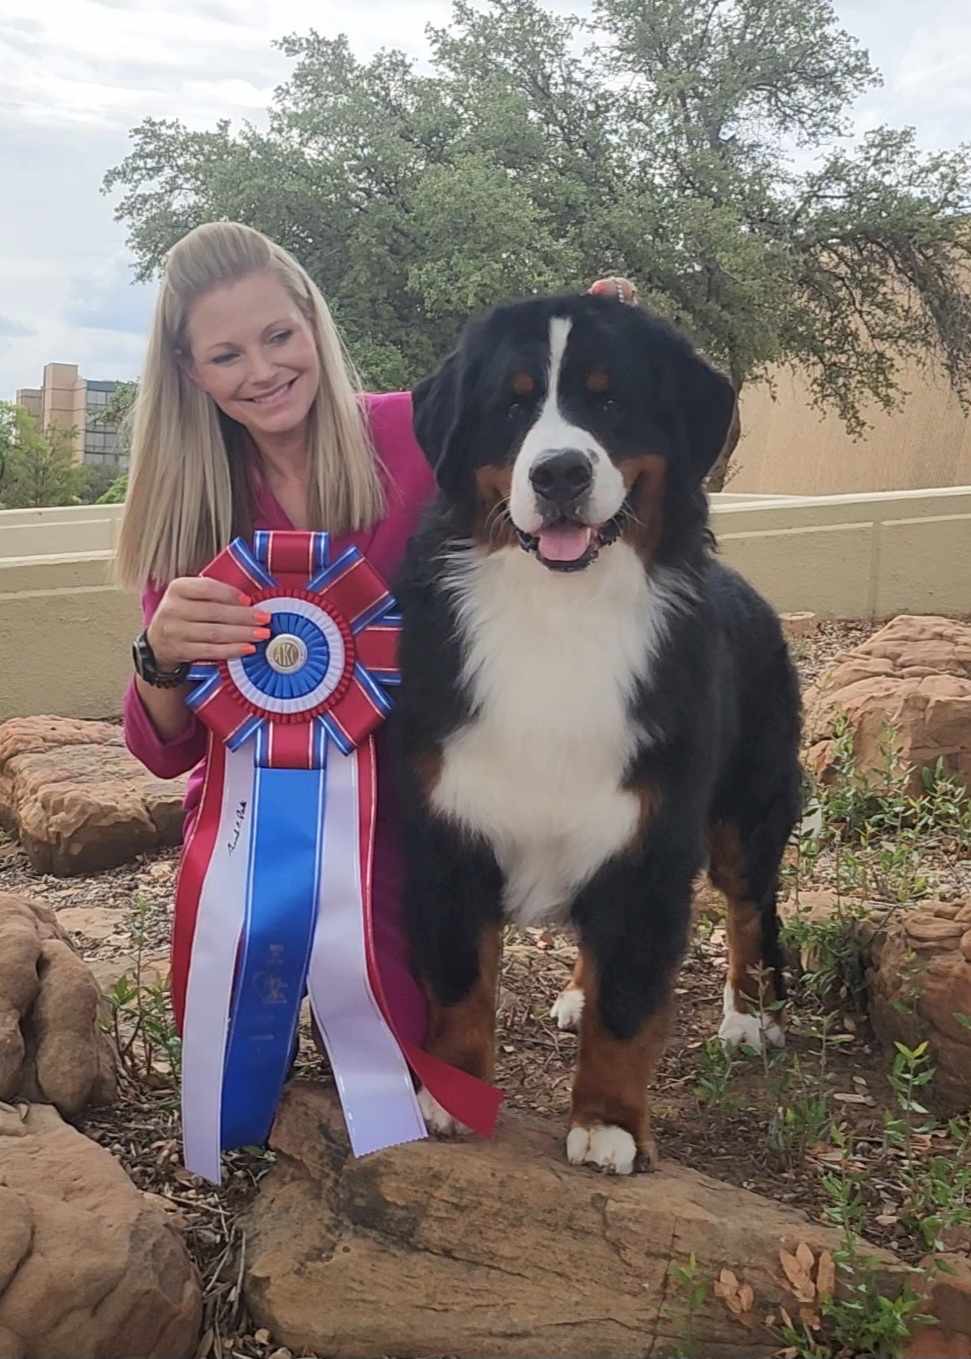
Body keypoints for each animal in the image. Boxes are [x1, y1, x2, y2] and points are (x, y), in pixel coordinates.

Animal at [391, 291, 802, 1175]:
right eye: (512, 405)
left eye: (609, 401)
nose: (558, 473)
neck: (559, 613)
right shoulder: (450, 825)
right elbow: (460, 980)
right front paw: (452, 1090)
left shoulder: (650, 838)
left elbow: (630, 1004)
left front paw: (609, 1122)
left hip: (743, 812)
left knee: (751, 907)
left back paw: (750, 1013)